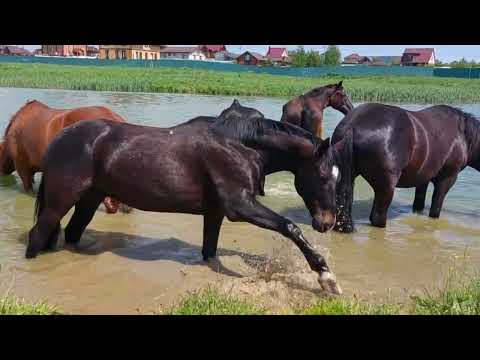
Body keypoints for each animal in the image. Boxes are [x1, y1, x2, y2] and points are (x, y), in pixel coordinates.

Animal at [27, 100, 344, 294]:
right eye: (324, 176)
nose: (327, 222)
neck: (241, 145)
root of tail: (57, 139)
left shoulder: (215, 212)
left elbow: (210, 251)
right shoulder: (240, 206)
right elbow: (290, 227)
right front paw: (327, 278)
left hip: (90, 199)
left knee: (71, 233)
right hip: (59, 201)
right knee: (37, 235)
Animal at [330, 102, 480, 232]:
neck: (463, 135)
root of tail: (353, 125)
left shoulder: (423, 178)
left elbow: (419, 203)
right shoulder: (447, 179)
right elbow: (435, 210)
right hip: (386, 187)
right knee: (377, 217)